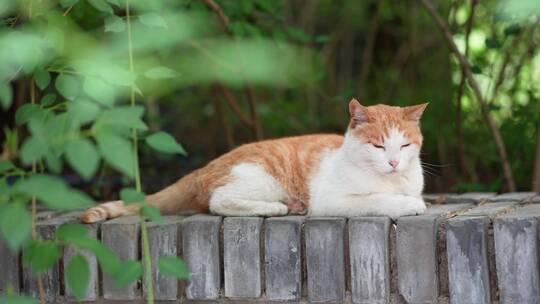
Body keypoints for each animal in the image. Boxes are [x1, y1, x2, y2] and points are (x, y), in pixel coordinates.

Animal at [81, 98, 426, 222]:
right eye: (378, 146)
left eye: (404, 145)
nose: (394, 162)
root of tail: (204, 168)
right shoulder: (332, 200)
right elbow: (378, 199)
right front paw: (409, 205)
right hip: (260, 178)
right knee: (218, 202)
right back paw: (278, 208)